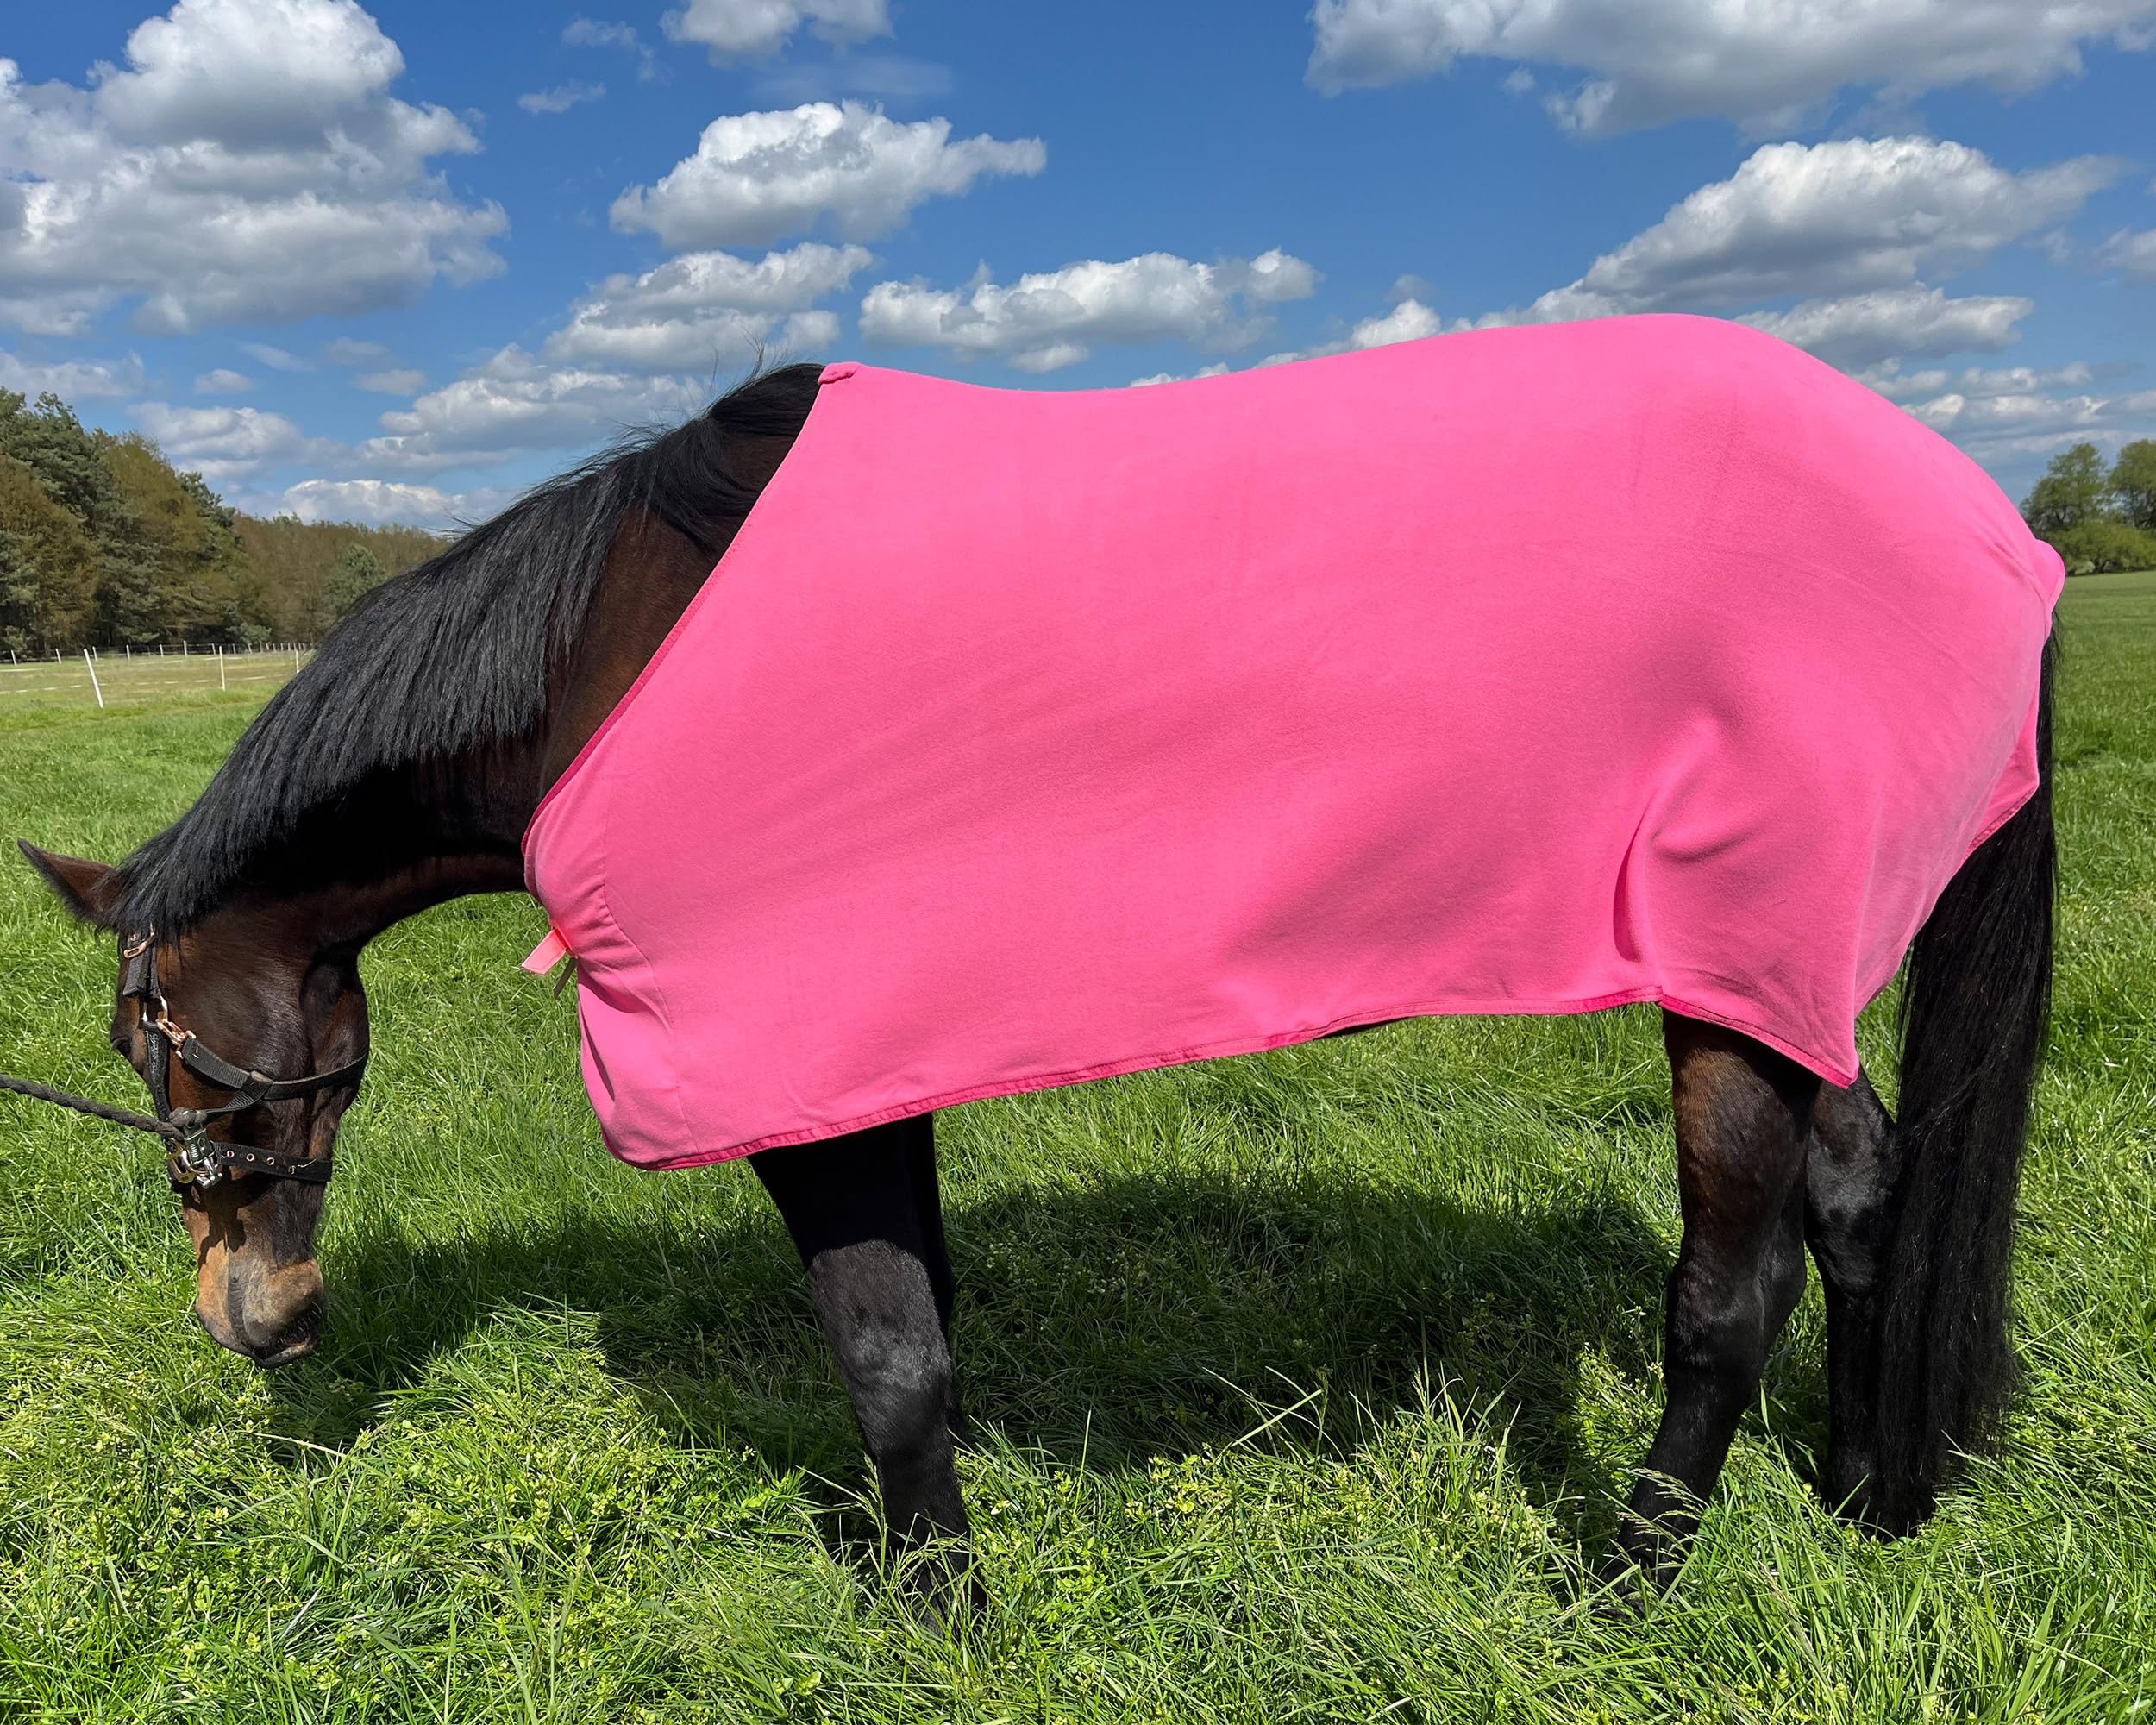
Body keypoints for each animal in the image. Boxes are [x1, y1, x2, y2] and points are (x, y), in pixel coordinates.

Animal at [14, 330, 2058, 1616]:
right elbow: (919, 1332)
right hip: (1774, 970)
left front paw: (939, 1620)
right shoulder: (857, 1060)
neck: (614, 660)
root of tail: (1985, 512)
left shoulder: (795, 1060)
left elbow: (885, 1356)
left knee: (1725, 1291)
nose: (250, 1317)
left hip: (1730, 974)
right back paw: (1864, 1491)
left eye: (142, 1035)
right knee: (1863, 1191)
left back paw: (1629, 1583)